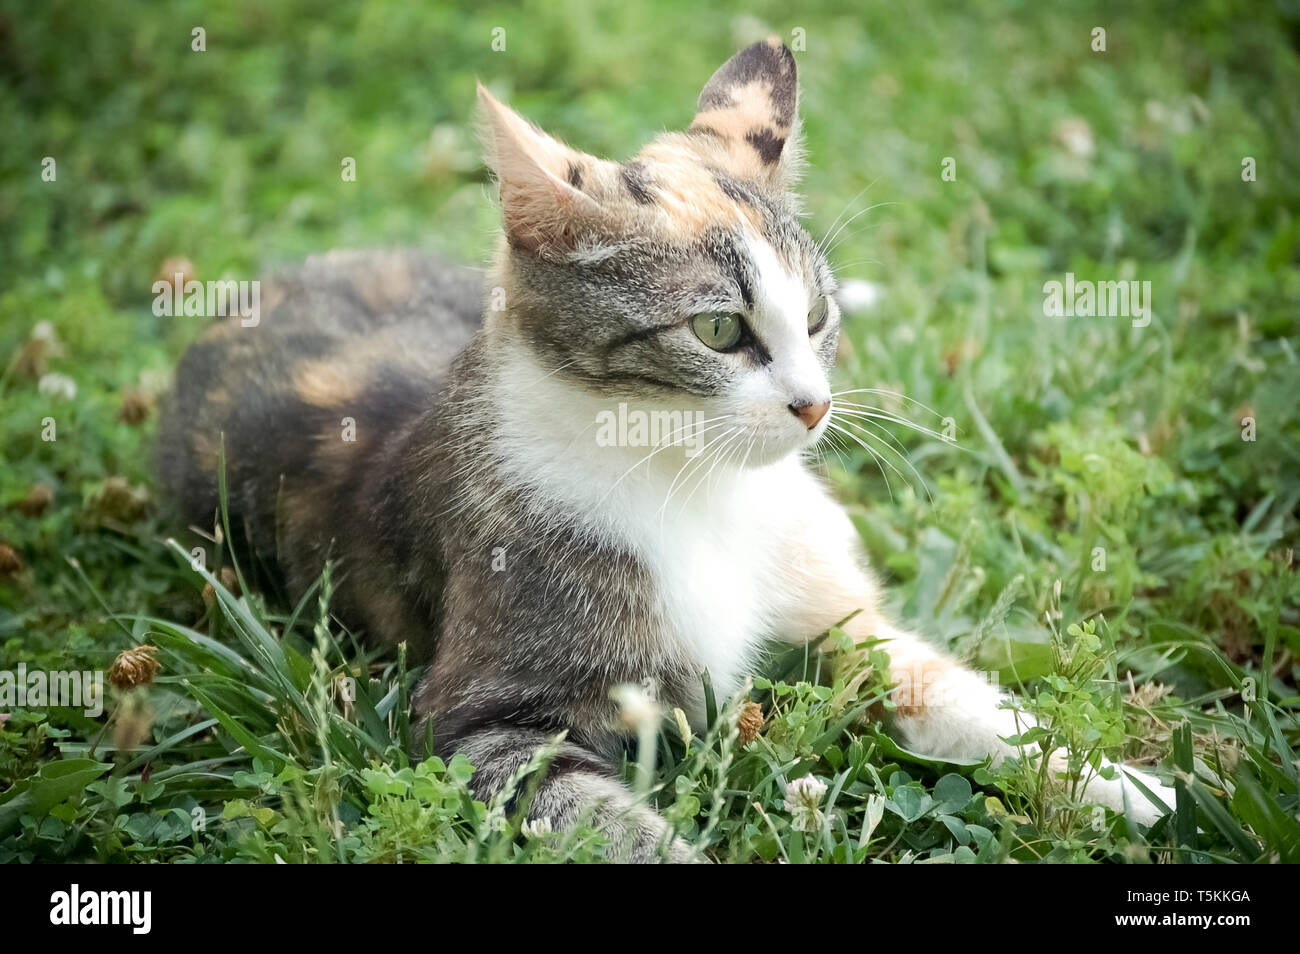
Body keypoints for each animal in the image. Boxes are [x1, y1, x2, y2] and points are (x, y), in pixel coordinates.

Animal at [157, 37, 1175, 863]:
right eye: (718, 329)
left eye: (816, 315)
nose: (814, 406)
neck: (698, 487)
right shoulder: (481, 720)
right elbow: (580, 807)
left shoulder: (831, 609)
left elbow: (935, 683)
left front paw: (1120, 786)